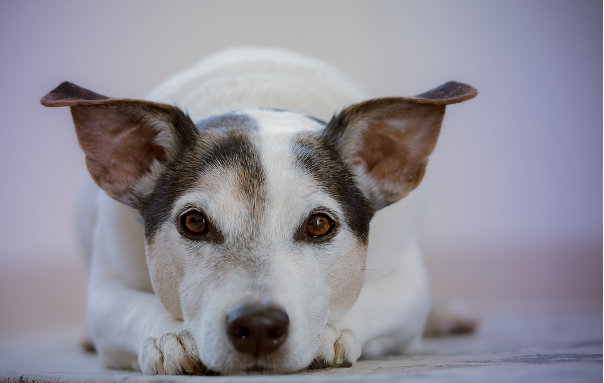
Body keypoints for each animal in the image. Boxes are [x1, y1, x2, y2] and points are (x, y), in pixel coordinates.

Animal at [41, 47, 476, 376]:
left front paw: (329, 331)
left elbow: (373, 299)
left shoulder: (408, 285)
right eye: (194, 222)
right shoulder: (105, 290)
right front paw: (171, 336)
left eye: (319, 225)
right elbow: (130, 307)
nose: (259, 325)